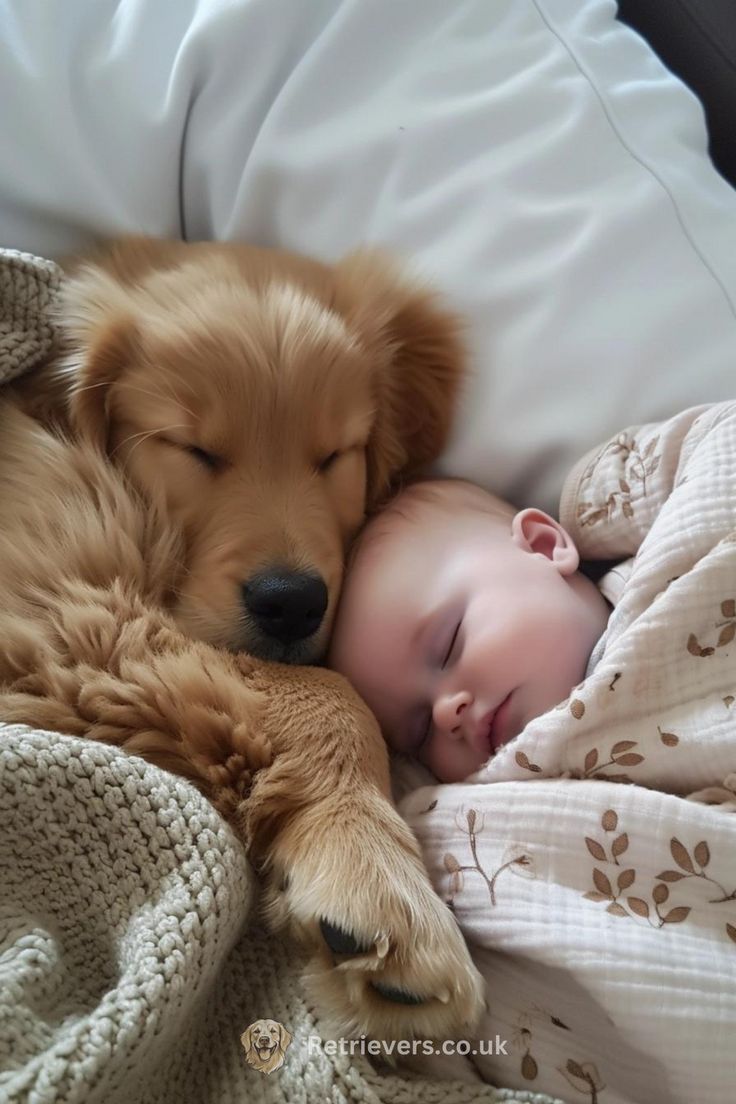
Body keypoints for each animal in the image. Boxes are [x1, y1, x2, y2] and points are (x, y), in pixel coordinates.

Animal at [1, 237, 489, 1037]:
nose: (291, 604)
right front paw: (371, 869)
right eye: (193, 449)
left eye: (337, 454)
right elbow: (329, 694)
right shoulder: (61, 612)